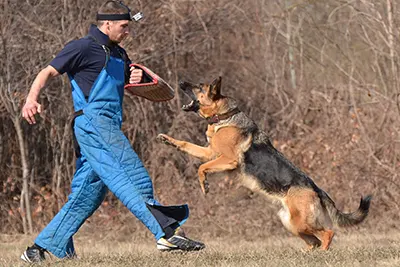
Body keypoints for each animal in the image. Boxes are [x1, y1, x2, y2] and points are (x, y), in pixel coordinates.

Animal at [157, 77, 372, 251]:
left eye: (199, 86)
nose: (180, 82)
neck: (224, 117)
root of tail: (316, 189)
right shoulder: (210, 152)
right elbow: (186, 145)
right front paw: (167, 140)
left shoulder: (227, 159)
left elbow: (201, 168)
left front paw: (204, 185)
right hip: (290, 222)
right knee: (314, 242)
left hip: (300, 223)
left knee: (328, 234)